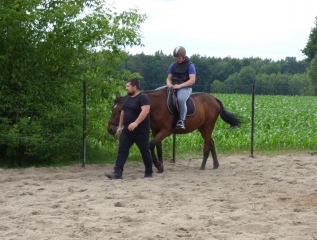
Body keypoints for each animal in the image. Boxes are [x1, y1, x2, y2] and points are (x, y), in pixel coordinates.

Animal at [107, 86, 241, 172]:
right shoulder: (156, 131)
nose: (110, 129)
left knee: (207, 146)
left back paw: (202, 166)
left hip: (208, 126)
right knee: (211, 142)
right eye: (112, 108)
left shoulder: (165, 131)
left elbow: (150, 145)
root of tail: (214, 99)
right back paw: (215, 165)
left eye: (120, 110)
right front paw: (160, 167)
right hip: (202, 127)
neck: (155, 106)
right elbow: (158, 148)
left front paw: (158, 165)